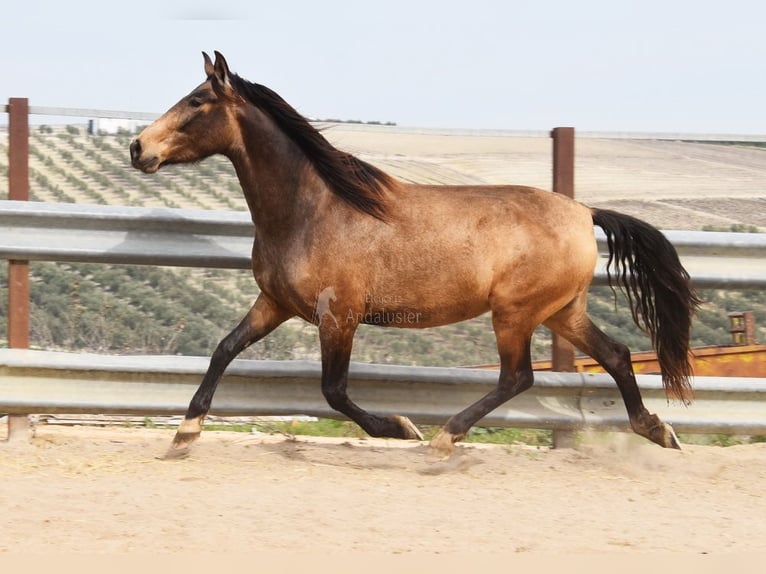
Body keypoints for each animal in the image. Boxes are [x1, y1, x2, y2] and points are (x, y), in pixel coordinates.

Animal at [130, 51, 704, 462]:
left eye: (196, 102)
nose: (138, 148)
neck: (312, 209)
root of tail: (585, 212)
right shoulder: (274, 303)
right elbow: (224, 349)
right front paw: (185, 433)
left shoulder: (338, 317)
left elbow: (333, 391)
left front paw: (401, 428)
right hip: (562, 311)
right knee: (616, 355)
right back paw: (659, 431)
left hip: (515, 314)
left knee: (518, 377)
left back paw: (445, 437)